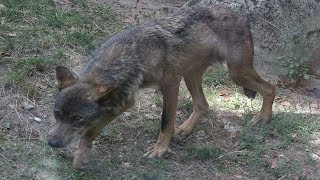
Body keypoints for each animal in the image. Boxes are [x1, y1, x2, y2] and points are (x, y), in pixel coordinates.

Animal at [47, 5, 276, 169]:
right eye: (57, 114)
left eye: (77, 119)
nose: (52, 143)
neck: (134, 55)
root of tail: (240, 15)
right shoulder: (123, 100)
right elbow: (91, 131)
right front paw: (81, 158)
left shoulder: (170, 85)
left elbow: (165, 122)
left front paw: (160, 150)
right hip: (191, 76)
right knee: (203, 105)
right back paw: (184, 129)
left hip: (236, 74)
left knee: (270, 87)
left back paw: (263, 117)